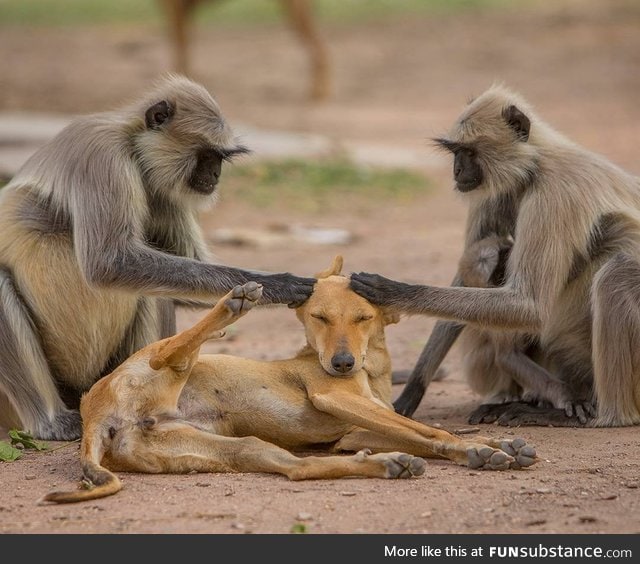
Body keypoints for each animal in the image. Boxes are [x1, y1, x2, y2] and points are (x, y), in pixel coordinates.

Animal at [0, 75, 316, 442]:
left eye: (220, 158)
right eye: (207, 155)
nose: (215, 176)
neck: (133, 148)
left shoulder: (163, 189)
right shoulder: (102, 153)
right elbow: (110, 263)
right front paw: (278, 284)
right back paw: (51, 420)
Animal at [42, 256, 536, 502]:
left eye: (363, 318)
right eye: (319, 318)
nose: (341, 363)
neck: (370, 371)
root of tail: (94, 417)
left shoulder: (353, 432)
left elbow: (419, 430)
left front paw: (495, 446)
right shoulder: (337, 400)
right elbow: (430, 429)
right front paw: (476, 448)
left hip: (236, 448)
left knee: (298, 470)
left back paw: (386, 465)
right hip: (158, 364)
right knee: (171, 351)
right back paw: (233, 302)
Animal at [352, 83, 640, 428]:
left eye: (469, 152)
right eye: (455, 152)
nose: (457, 170)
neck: (534, 167)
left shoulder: (555, 193)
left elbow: (530, 304)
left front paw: (395, 292)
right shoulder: (499, 192)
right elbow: (466, 278)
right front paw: (412, 392)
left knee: (615, 273)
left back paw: (602, 416)